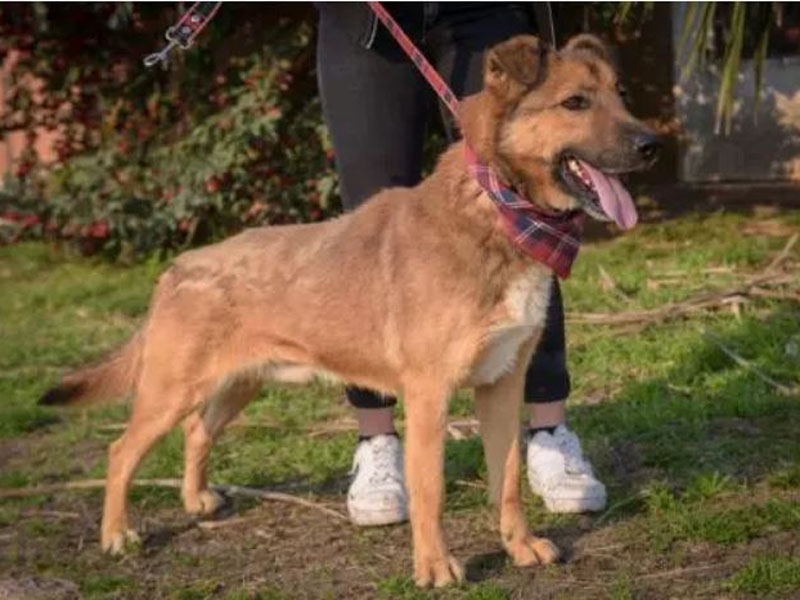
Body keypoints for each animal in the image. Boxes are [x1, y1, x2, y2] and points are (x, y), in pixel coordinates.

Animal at [40, 35, 660, 588]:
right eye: (575, 102)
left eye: (621, 93)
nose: (652, 144)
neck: (499, 208)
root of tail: (177, 267)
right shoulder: (430, 395)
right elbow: (431, 491)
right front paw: (434, 568)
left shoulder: (503, 385)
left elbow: (507, 480)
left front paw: (520, 546)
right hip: (172, 391)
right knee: (121, 452)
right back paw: (117, 535)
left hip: (237, 384)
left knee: (197, 432)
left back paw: (197, 500)